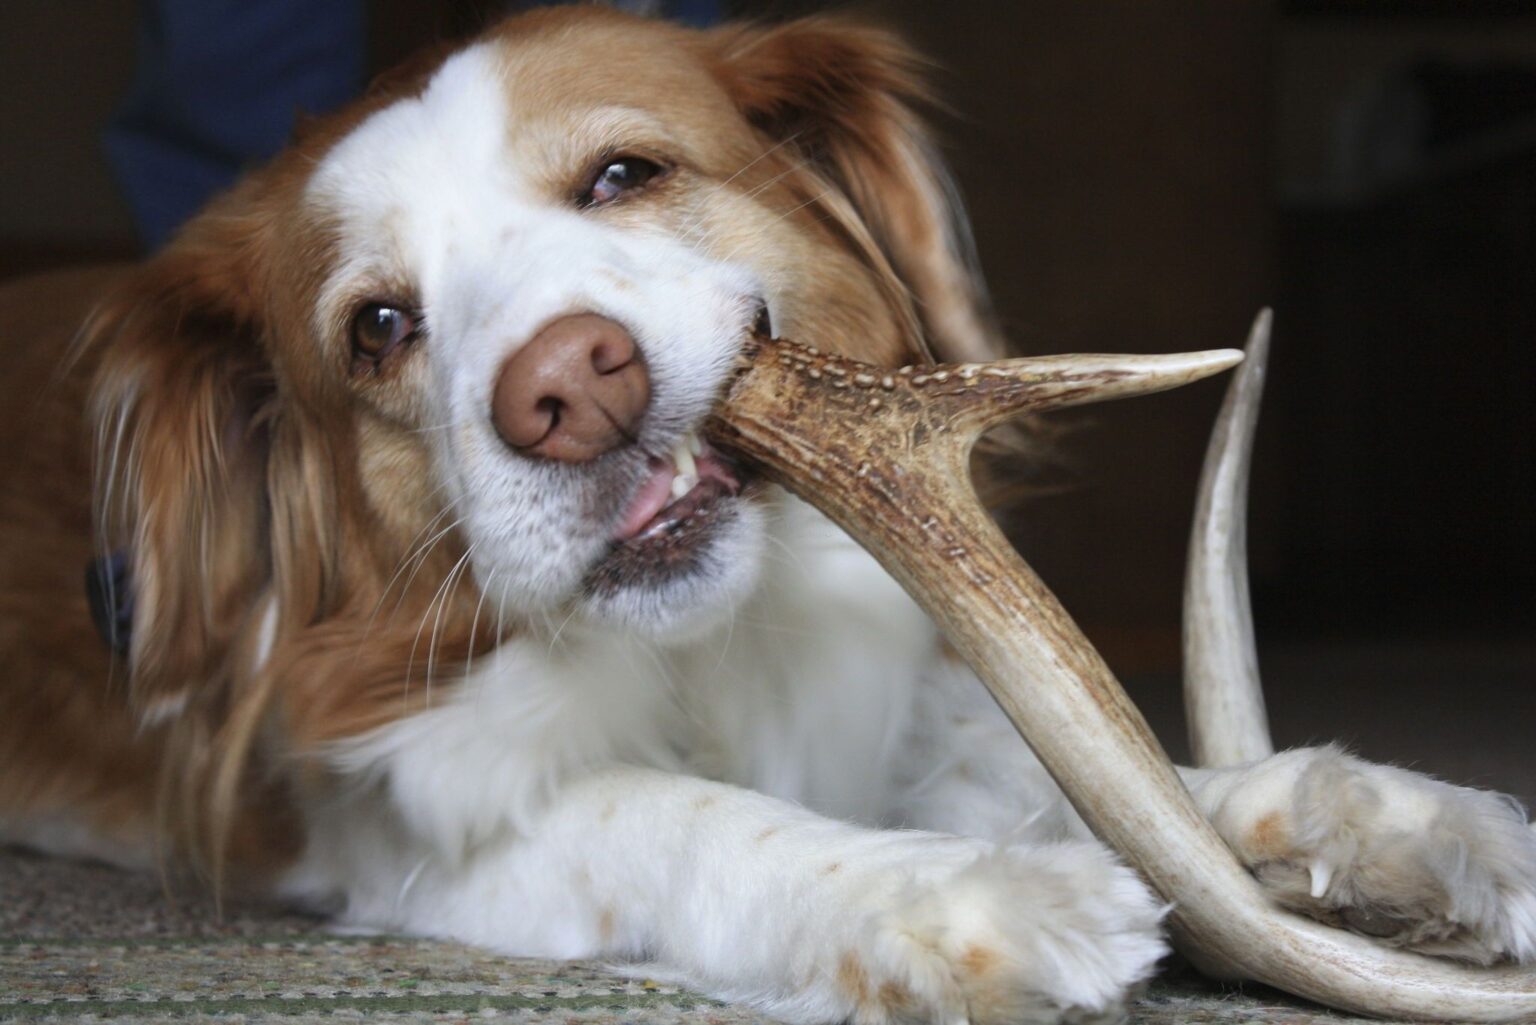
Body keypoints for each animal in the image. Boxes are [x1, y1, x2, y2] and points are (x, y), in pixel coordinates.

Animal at [3, 10, 1536, 1025]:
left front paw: (1395, 816)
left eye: (624, 174)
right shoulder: (415, 817)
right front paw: (964, 893)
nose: (568, 388)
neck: (713, 645)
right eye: (377, 328)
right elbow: (679, 814)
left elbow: (1107, 774)